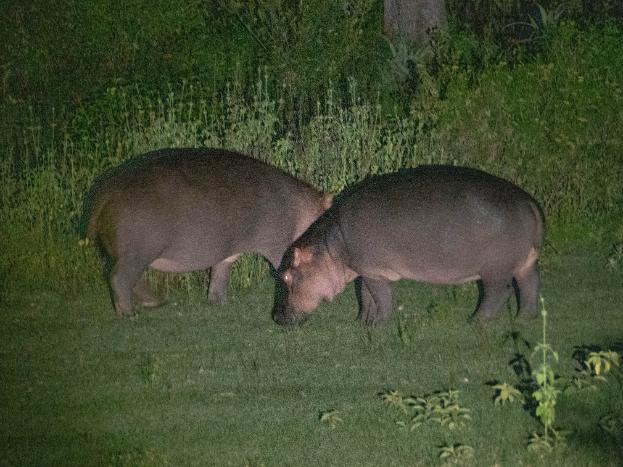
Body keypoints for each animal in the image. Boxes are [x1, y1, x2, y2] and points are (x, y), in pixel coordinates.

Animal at [81, 148, 331, 315]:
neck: (304, 209)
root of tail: (105, 189)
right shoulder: (279, 245)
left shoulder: (228, 251)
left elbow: (220, 273)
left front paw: (218, 302)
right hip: (137, 252)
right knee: (119, 278)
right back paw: (129, 314)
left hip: (129, 253)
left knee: (128, 277)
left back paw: (157, 302)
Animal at [274, 165, 544, 325]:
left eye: (285, 276)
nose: (276, 316)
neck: (331, 246)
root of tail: (529, 203)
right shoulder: (364, 270)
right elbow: (365, 296)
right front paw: (362, 322)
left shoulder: (374, 271)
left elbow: (381, 297)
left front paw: (378, 325)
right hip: (526, 262)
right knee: (529, 287)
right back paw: (523, 319)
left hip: (495, 269)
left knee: (498, 293)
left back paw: (475, 321)